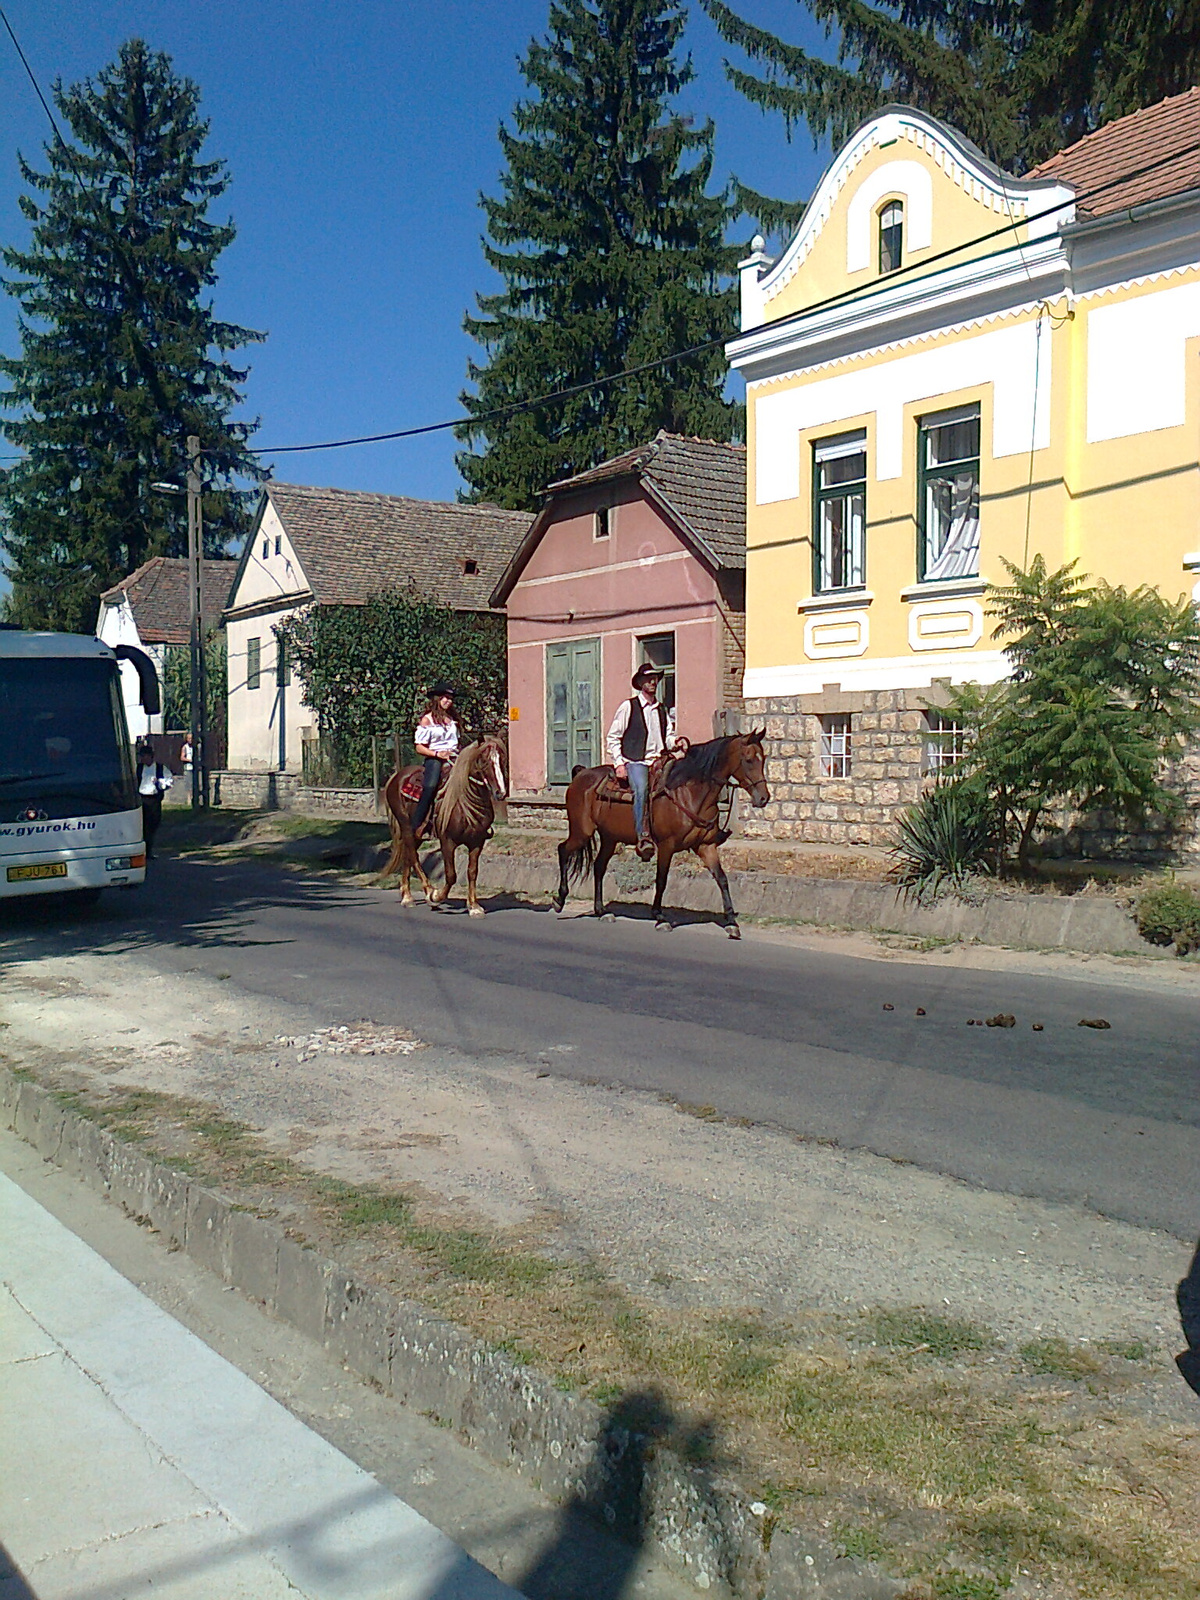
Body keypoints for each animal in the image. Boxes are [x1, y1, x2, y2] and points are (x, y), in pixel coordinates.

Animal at [377, 732, 505, 915]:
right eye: (485, 760)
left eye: (502, 759)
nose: (500, 792)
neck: (464, 800)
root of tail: (397, 776)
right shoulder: (447, 842)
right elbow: (451, 875)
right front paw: (436, 896)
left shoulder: (477, 842)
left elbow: (472, 872)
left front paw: (474, 906)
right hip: (406, 826)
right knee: (413, 857)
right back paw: (425, 892)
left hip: (417, 835)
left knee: (408, 855)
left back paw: (407, 896)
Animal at [553, 732, 771, 940]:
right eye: (749, 759)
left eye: (763, 758)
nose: (763, 798)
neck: (690, 792)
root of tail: (581, 774)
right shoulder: (667, 845)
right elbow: (662, 879)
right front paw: (659, 917)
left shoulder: (706, 845)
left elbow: (722, 879)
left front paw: (732, 923)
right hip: (582, 831)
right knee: (563, 850)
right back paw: (559, 900)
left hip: (609, 837)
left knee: (598, 866)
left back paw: (601, 911)